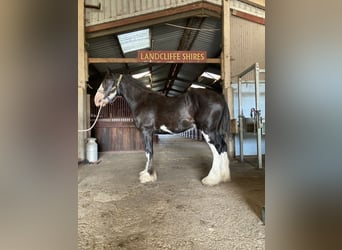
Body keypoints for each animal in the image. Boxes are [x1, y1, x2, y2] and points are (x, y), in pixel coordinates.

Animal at [95, 71, 231, 186]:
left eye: (107, 81)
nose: (96, 100)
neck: (141, 100)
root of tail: (219, 97)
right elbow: (147, 152)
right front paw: (146, 173)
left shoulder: (147, 131)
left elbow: (149, 151)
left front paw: (148, 176)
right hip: (214, 131)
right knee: (223, 146)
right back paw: (224, 177)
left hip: (208, 131)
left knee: (217, 149)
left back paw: (211, 179)